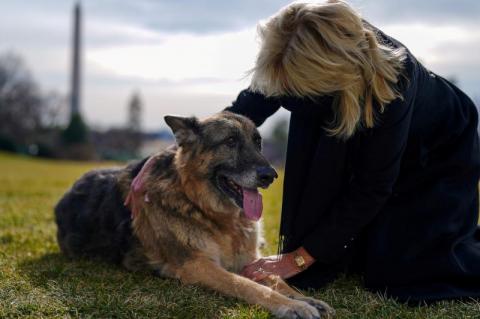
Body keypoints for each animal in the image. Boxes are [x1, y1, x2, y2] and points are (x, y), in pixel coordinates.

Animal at [54, 112, 334, 319]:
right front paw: (292, 306)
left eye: (258, 142)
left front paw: (305, 298)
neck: (205, 209)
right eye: (230, 142)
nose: (270, 176)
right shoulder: (197, 265)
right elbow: (248, 285)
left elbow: (277, 279)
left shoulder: (250, 261)